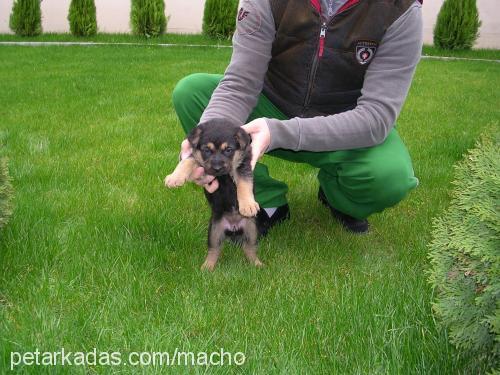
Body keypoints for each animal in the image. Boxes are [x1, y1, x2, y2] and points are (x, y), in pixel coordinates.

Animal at [166, 119, 264, 270]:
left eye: (228, 150)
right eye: (206, 150)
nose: (217, 168)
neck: (223, 175)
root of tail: (233, 228)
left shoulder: (243, 165)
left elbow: (244, 184)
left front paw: (248, 205)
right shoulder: (202, 166)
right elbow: (187, 161)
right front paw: (174, 178)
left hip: (252, 228)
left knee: (249, 248)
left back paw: (257, 264)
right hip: (214, 231)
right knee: (214, 250)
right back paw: (206, 268)